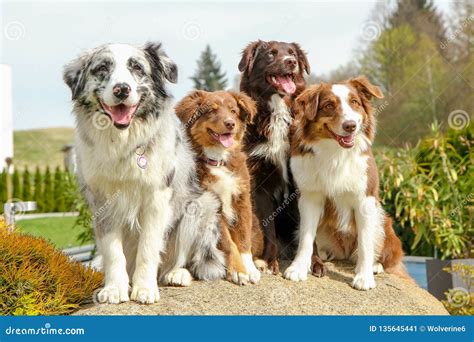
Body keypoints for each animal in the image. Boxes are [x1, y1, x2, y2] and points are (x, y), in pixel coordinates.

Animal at [175, 89, 262, 284]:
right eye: (211, 111)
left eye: (233, 111)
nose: (230, 123)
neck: (218, 160)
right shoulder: (212, 207)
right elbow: (229, 243)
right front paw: (238, 271)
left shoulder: (242, 199)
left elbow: (243, 239)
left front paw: (250, 268)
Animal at [237, 40, 312, 274]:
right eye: (271, 54)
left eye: (292, 53)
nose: (292, 62)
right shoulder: (261, 183)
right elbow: (268, 228)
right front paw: (271, 261)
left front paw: (314, 263)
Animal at [286, 76, 412, 290]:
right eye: (329, 105)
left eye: (355, 102)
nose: (350, 125)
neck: (335, 152)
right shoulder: (309, 197)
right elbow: (306, 238)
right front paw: (299, 268)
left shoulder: (365, 199)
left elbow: (365, 242)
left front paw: (364, 277)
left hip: (382, 220)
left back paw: (374, 265)